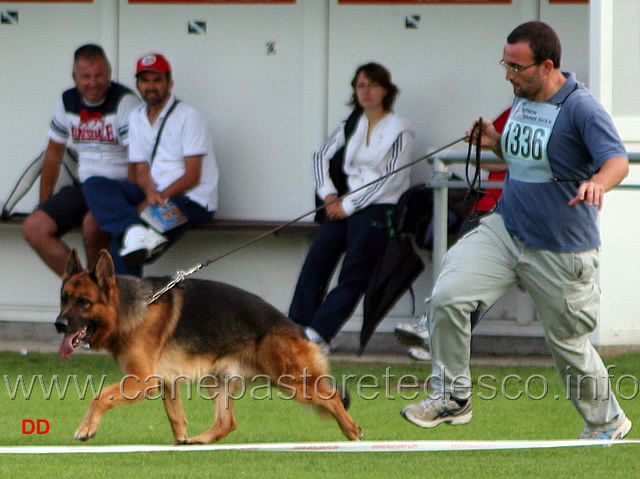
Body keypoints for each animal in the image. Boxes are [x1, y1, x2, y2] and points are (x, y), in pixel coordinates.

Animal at [55, 249, 362, 444]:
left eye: (84, 302)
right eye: (63, 299)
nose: (58, 324)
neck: (128, 308)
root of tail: (295, 327)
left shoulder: (141, 381)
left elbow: (101, 396)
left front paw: (86, 428)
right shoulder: (165, 382)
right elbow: (175, 416)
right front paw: (179, 441)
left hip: (289, 380)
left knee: (331, 397)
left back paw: (352, 432)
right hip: (218, 380)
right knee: (227, 422)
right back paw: (200, 441)